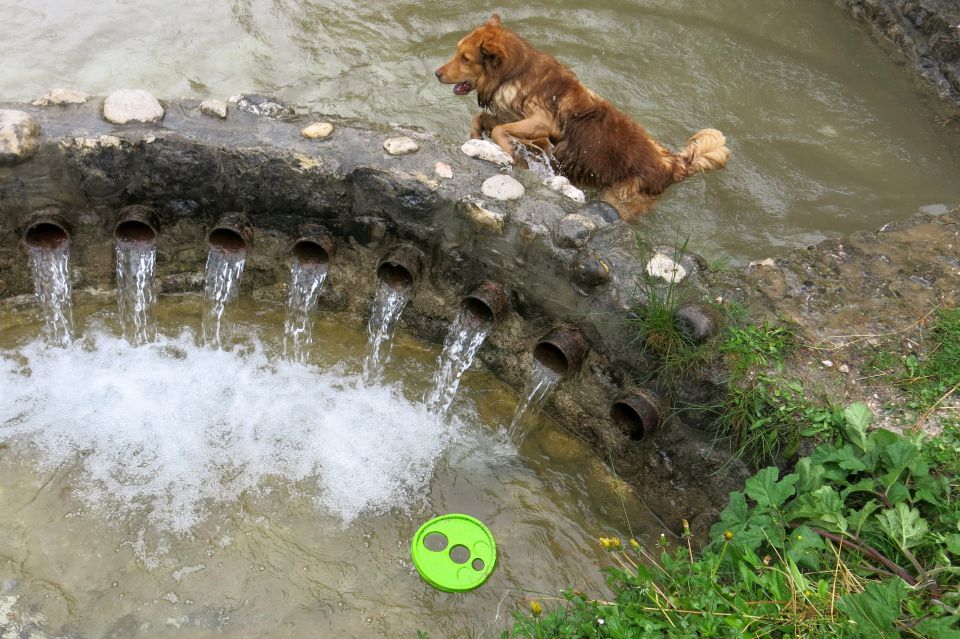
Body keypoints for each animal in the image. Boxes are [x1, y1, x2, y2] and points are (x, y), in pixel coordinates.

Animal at [436, 13, 728, 221]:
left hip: (619, 199)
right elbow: (482, 119)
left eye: (465, 58)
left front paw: (511, 152)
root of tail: (675, 164)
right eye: (458, 52)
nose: (437, 73)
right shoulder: (511, 115)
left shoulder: (544, 123)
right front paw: (476, 138)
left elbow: (500, 131)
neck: (514, 74)